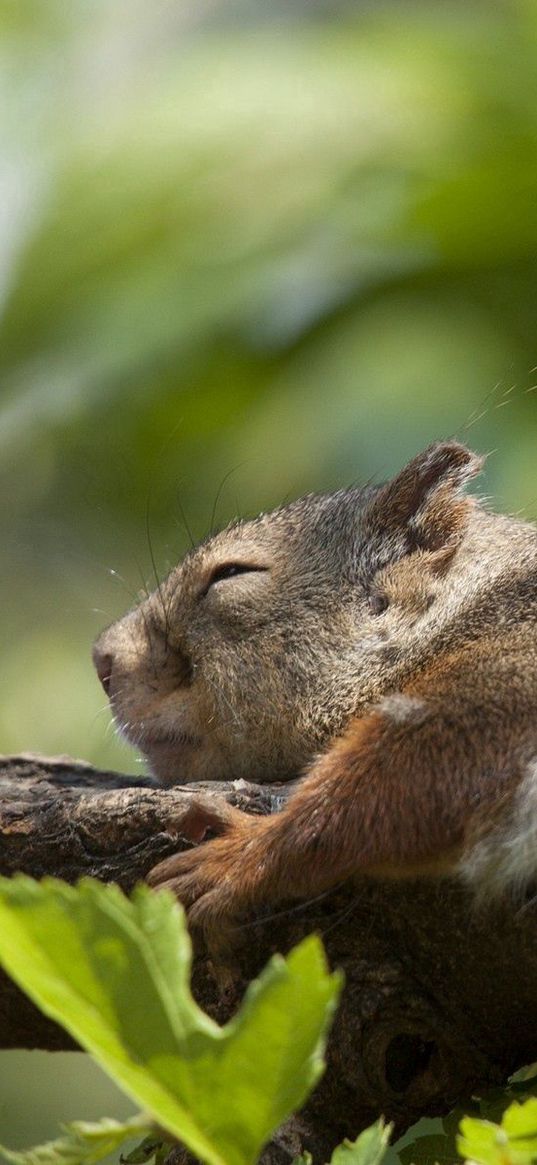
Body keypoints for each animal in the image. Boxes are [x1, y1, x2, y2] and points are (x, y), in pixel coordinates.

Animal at [92, 440, 537, 941]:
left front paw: (245, 850)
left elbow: (403, 776)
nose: (102, 659)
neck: (461, 615)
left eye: (230, 573)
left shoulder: (507, 676)